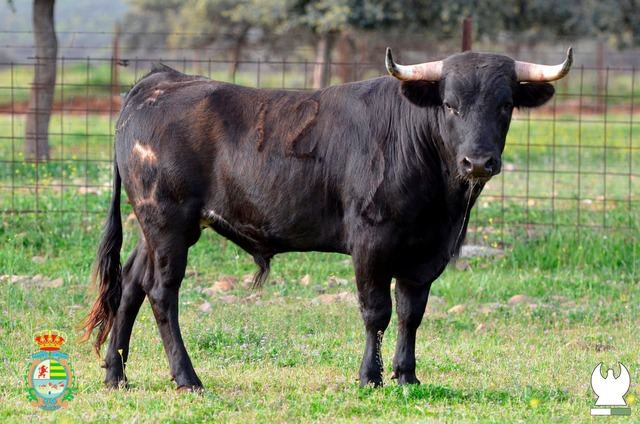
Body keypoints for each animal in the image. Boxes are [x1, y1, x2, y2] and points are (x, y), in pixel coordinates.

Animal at [84, 50, 564, 390]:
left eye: (506, 105)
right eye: (449, 105)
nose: (478, 161)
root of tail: (160, 80)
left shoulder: (427, 252)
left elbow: (411, 313)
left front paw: (407, 374)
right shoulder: (370, 243)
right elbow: (376, 312)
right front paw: (369, 376)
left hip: (155, 227)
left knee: (132, 282)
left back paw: (116, 374)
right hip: (168, 222)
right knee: (162, 293)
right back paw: (187, 378)